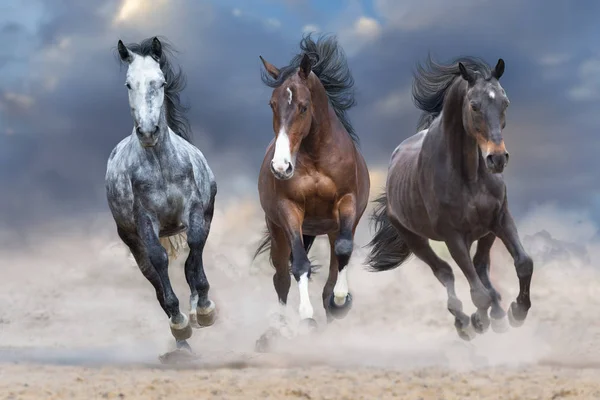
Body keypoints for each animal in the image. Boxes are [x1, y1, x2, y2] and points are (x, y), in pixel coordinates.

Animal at [106, 37, 218, 356]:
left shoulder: (194, 211)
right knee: (154, 278)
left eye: (161, 81)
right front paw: (180, 323)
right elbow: (159, 261)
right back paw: (182, 342)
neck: (160, 165)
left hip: (206, 215)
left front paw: (204, 309)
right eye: (129, 84)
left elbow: (194, 251)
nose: (147, 132)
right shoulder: (145, 222)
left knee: (192, 260)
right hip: (132, 240)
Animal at [252, 34, 370, 346]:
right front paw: (306, 318)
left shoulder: (347, 203)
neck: (316, 156)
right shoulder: (289, 210)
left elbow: (343, 251)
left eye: (303, 106)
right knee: (281, 276)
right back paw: (277, 330)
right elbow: (300, 266)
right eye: (272, 104)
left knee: (334, 263)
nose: (281, 167)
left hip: (329, 227)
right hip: (279, 230)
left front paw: (341, 300)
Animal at [366, 54, 536, 340]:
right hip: (415, 238)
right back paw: (464, 321)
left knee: (480, 266)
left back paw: (497, 313)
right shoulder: (453, 235)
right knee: (445, 272)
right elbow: (477, 293)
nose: (497, 159)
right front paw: (479, 321)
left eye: (505, 102)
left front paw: (517, 312)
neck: (468, 175)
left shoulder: (500, 218)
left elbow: (523, 263)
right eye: (474, 106)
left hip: (485, 232)